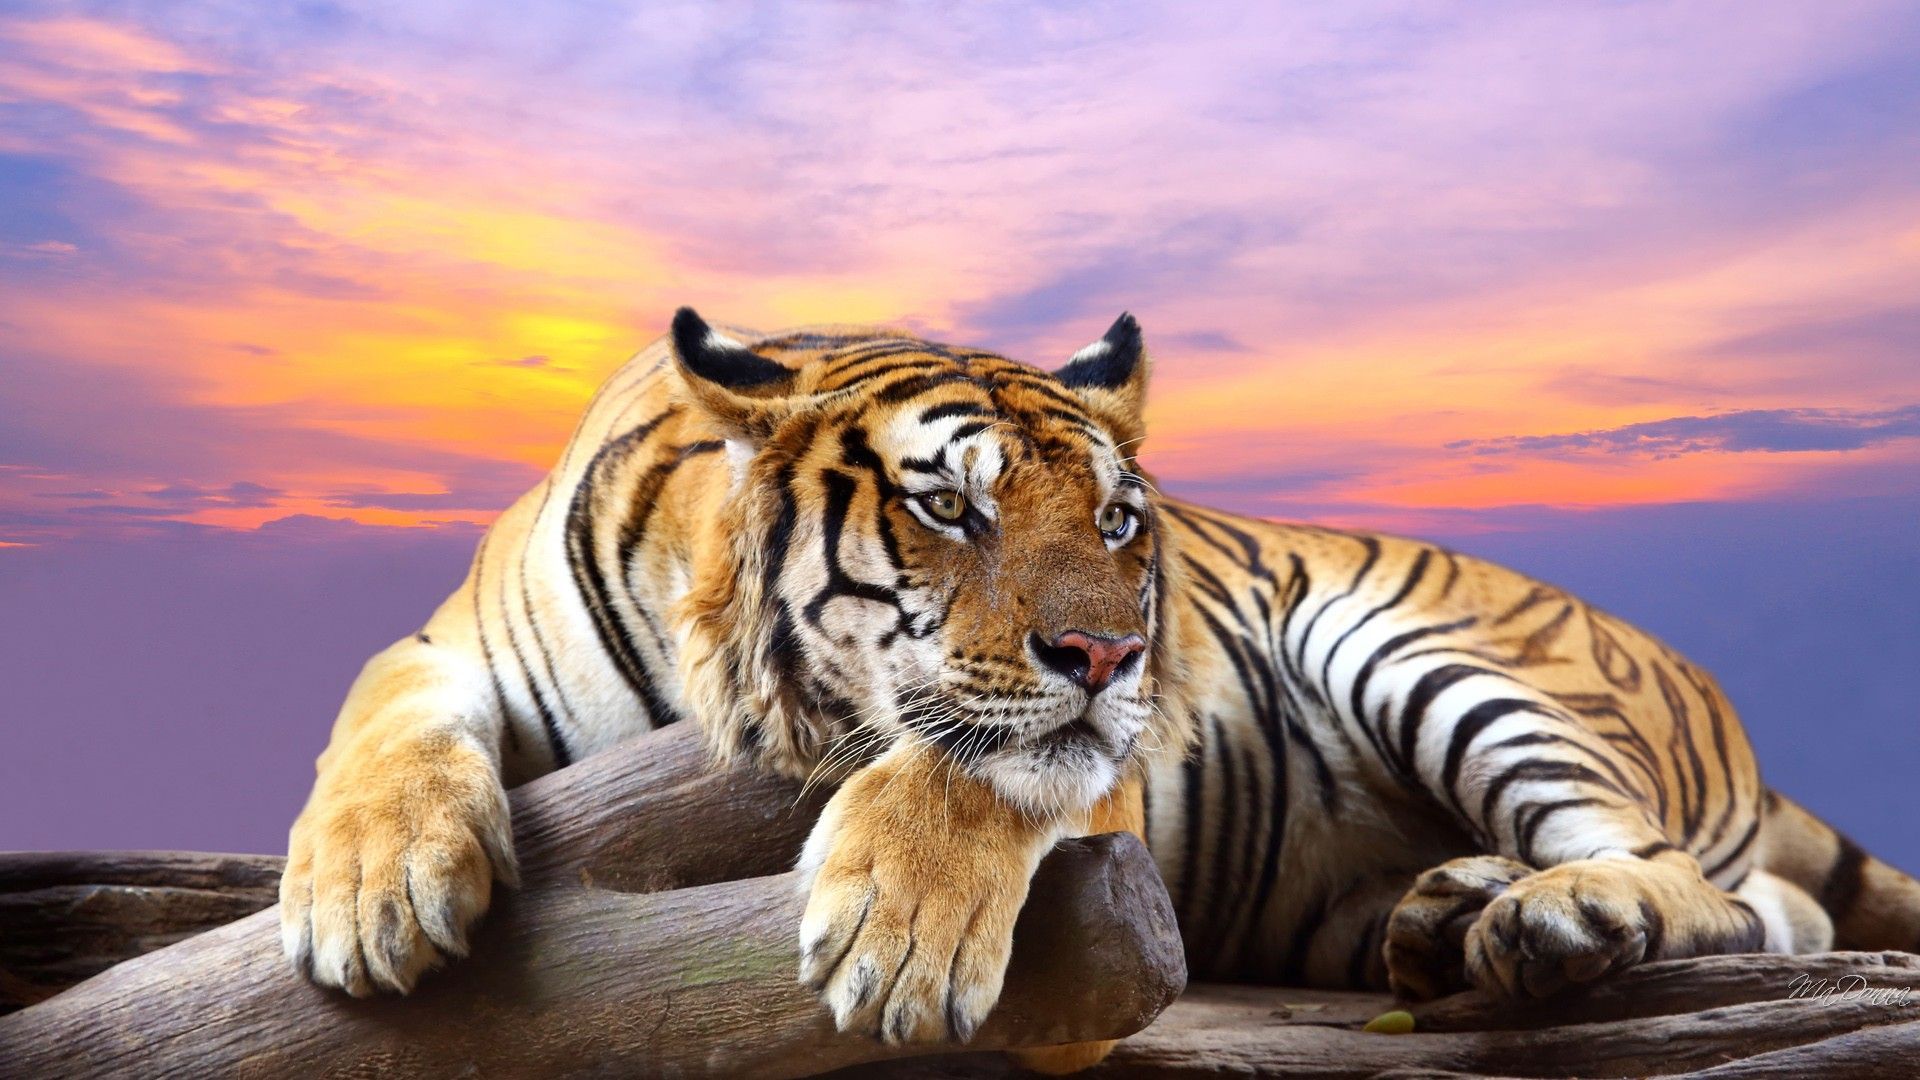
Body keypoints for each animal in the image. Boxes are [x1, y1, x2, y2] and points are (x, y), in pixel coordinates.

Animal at [281, 308, 1920, 1073]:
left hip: (1427, 650)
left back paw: (1550, 917)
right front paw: (370, 896)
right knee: (1778, 907)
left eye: (1123, 521)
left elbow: (980, 761)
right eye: (952, 507)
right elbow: (377, 720)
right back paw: (1450, 912)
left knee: (1693, 884)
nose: (1118, 655)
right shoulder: (449, 647)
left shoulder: (1087, 800)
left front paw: (898, 941)